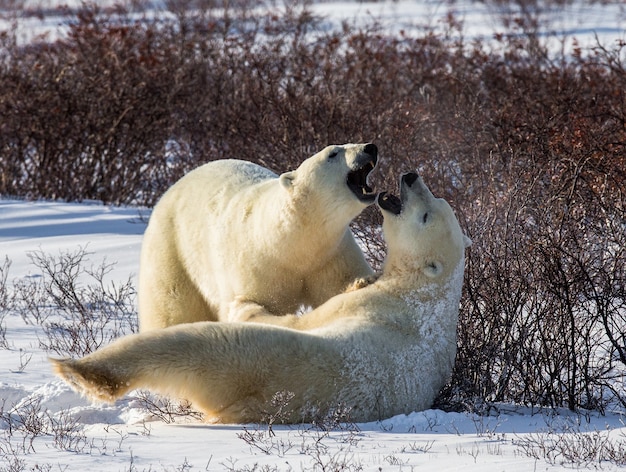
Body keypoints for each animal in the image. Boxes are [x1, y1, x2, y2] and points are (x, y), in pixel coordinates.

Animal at [50, 171, 468, 422]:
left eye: (426, 215)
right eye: (438, 200)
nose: (411, 176)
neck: (423, 292)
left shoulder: (371, 304)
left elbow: (310, 316)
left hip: (259, 361)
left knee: (198, 344)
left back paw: (82, 371)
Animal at [140, 142, 378, 330]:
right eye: (333, 153)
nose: (370, 147)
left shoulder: (330, 254)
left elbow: (340, 283)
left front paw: (362, 283)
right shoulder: (255, 264)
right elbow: (249, 305)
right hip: (172, 249)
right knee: (172, 307)